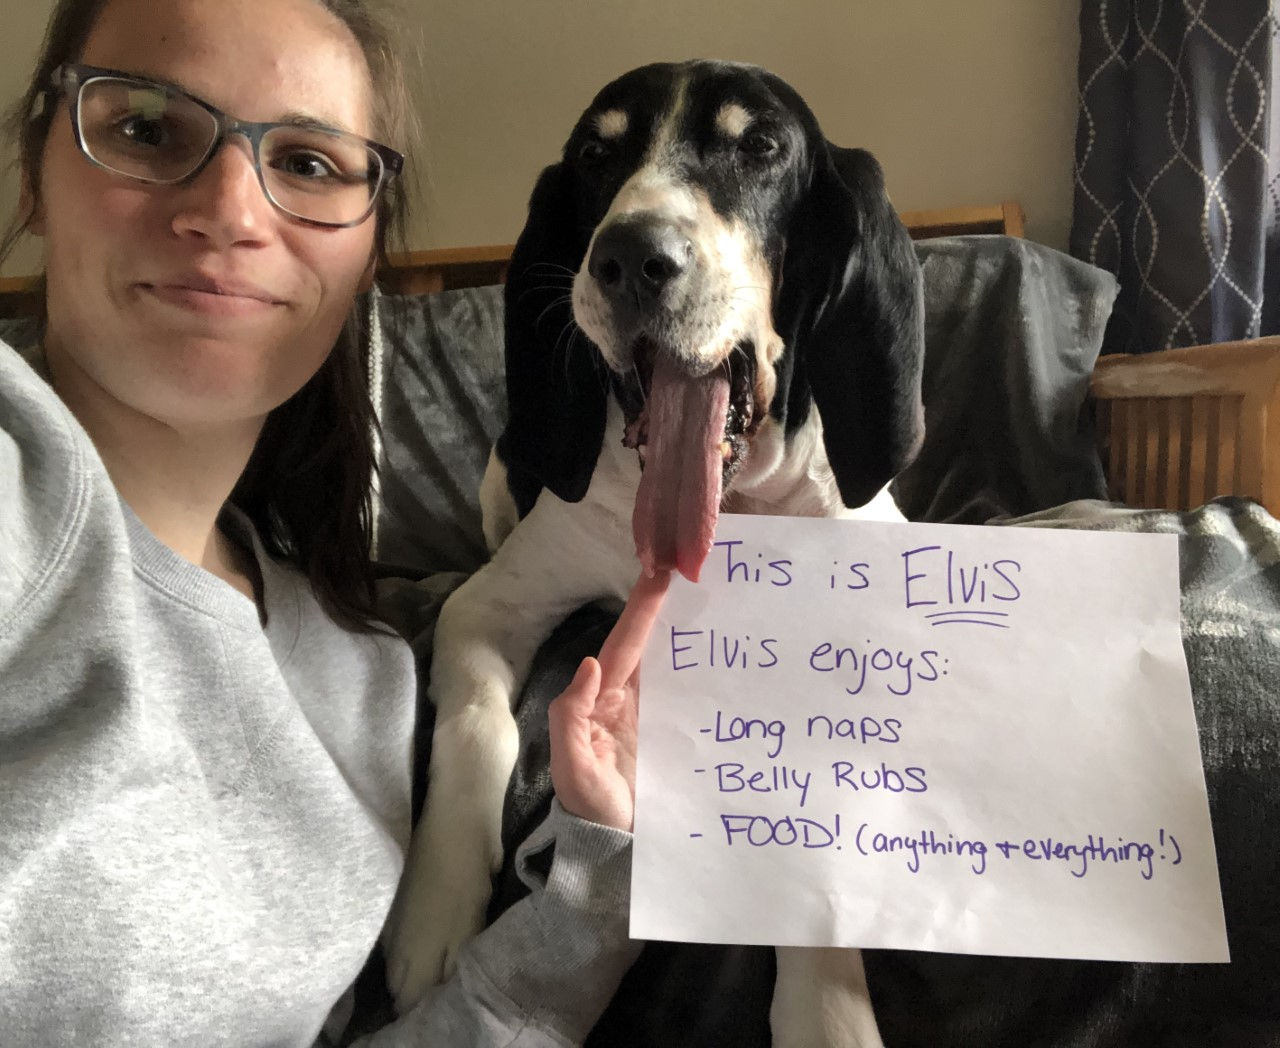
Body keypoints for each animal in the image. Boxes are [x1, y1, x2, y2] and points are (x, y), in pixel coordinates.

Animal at [384, 59, 926, 1048]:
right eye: (595, 157)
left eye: (762, 146)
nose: (632, 257)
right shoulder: (484, 609)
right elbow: (475, 725)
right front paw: (435, 911)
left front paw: (825, 1009)